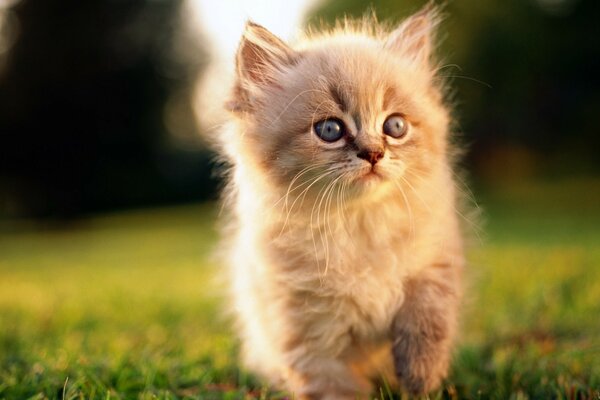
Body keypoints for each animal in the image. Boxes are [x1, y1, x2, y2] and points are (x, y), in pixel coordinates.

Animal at [218, 3, 466, 400]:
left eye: (395, 127)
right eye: (330, 130)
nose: (374, 154)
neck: (357, 224)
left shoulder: (436, 259)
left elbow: (428, 317)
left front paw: (421, 377)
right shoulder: (307, 332)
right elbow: (332, 386)